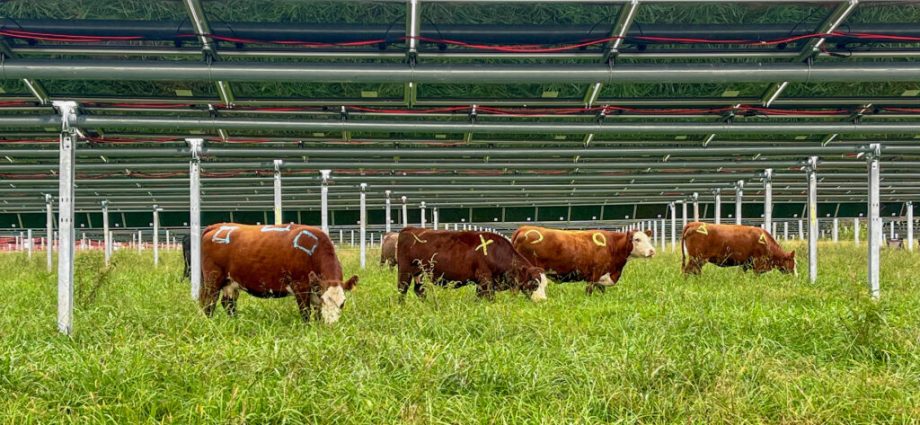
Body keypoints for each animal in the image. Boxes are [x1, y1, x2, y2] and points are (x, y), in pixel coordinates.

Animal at [200, 223, 358, 324]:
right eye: (325, 300)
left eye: (342, 303)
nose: (331, 325)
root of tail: (218, 226)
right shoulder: (300, 286)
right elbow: (306, 313)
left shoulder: (316, 289)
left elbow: (318, 314)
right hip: (213, 279)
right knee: (209, 304)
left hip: (231, 282)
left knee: (228, 303)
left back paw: (235, 323)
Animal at [397, 227, 547, 302]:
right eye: (534, 283)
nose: (543, 300)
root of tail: (409, 229)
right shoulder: (485, 278)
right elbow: (490, 298)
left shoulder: (482, 283)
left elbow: (479, 297)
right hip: (405, 271)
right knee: (402, 290)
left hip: (419, 274)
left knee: (419, 290)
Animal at [512, 226, 656, 295]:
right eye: (637, 239)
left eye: (648, 239)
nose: (652, 251)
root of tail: (524, 228)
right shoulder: (595, 274)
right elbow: (589, 291)